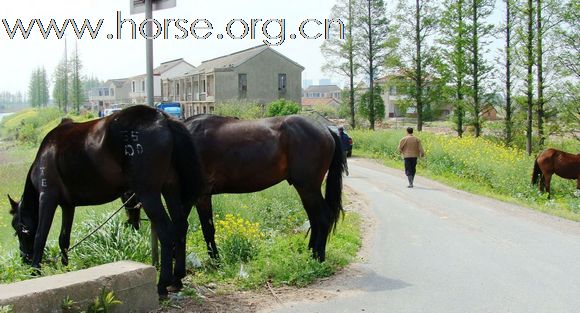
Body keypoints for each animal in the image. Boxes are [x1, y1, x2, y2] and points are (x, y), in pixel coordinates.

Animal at [7, 105, 204, 294]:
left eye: (18, 228)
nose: (24, 258)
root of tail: (162, 118)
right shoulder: (68, 206)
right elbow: (64, 239)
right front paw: (66, 269)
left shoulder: (47, 198)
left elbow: (40, 236)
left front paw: (34, 272)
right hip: (170, 188)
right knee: (180, 225)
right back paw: (177, 279)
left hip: (148, 193)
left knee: (165, 230)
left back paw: (162, 284)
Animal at [124, 114, 346, 260]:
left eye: (125, 193)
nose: (132, 227)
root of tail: (327, 129)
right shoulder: (193, 197)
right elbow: (190, 227)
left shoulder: (198, 196)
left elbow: (202, 228)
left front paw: (213, 260)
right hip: (306, 189)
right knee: (315, 218)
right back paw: (311, 251)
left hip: (308, 187)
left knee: (322, 217)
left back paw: (318, 256)